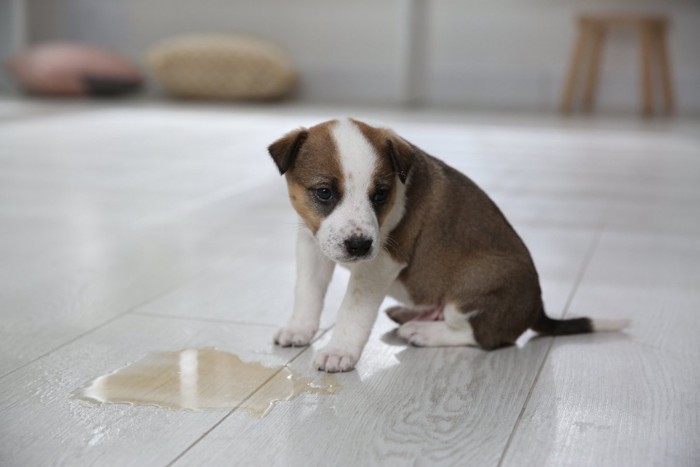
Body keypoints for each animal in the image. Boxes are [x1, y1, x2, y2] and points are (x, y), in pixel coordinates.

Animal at [268, 119, 628, 374]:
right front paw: (299, 328)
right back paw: (412, 314)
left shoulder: (379, 264)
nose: (359, 246)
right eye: (324, 192)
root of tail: (537, 309)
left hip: (475, 285)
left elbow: (352, 311)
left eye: (380, 194)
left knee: (483, 337)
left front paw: (340, 350)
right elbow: (308, 292)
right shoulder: (311, 244)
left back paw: (423, 332)